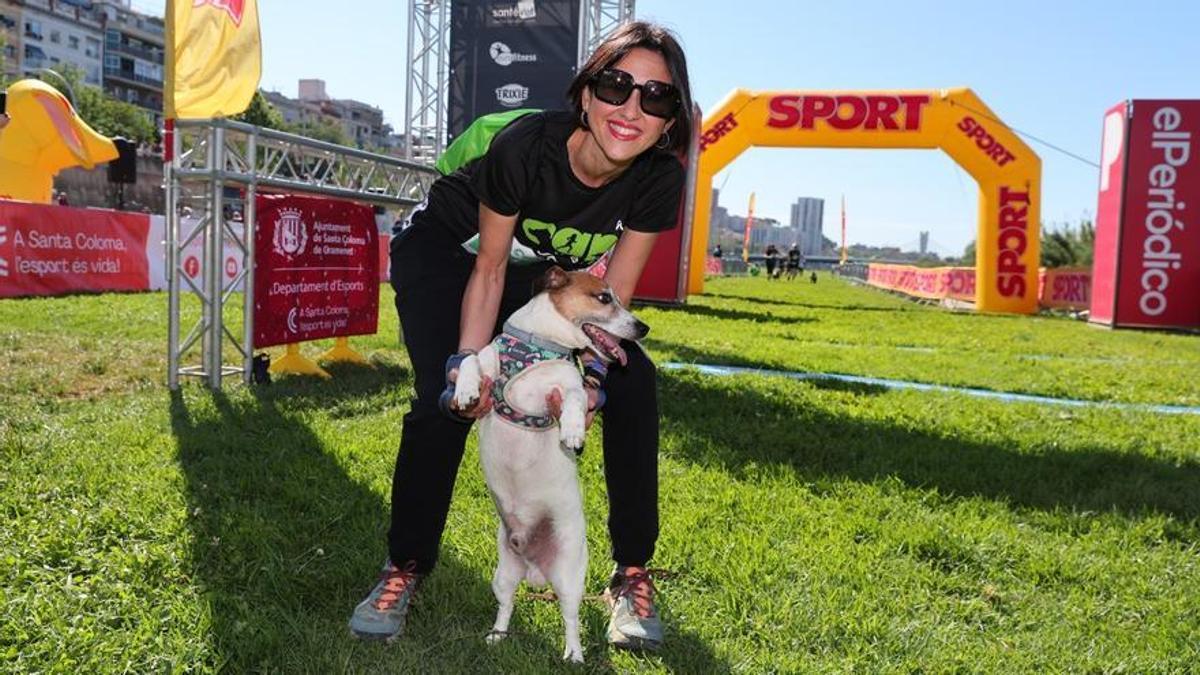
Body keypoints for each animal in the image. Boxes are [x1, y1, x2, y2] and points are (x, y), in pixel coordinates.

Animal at [453, 265, 652, 658]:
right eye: (604, 297)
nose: (642, 328)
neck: (538, 345)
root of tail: (535, 569)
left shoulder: (563, 388)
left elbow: (575, 396)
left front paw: (573, 431)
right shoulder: (487, 361)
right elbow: (470, 358)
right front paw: (464, 389)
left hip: (570, 577)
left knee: (570, 619)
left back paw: (573, 655)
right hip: (503, 574)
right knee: (507, 604)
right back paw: (497, 636)